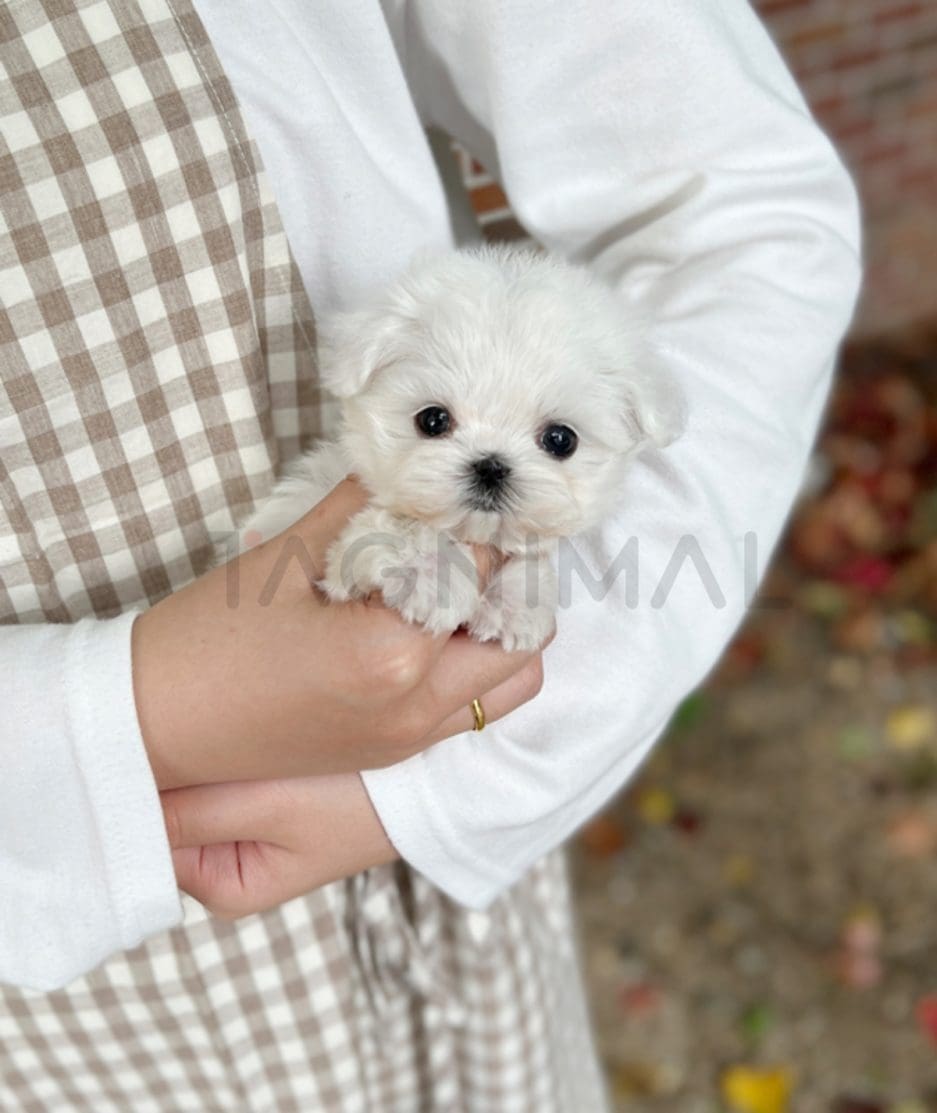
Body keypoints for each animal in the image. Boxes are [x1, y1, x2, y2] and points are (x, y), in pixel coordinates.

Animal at [235, 243, 681, 645]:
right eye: (432, 420)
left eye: (560, 440)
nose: (491, 466)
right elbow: (400, 525)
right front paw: (432, 574)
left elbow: (528, 557)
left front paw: (517, 603)